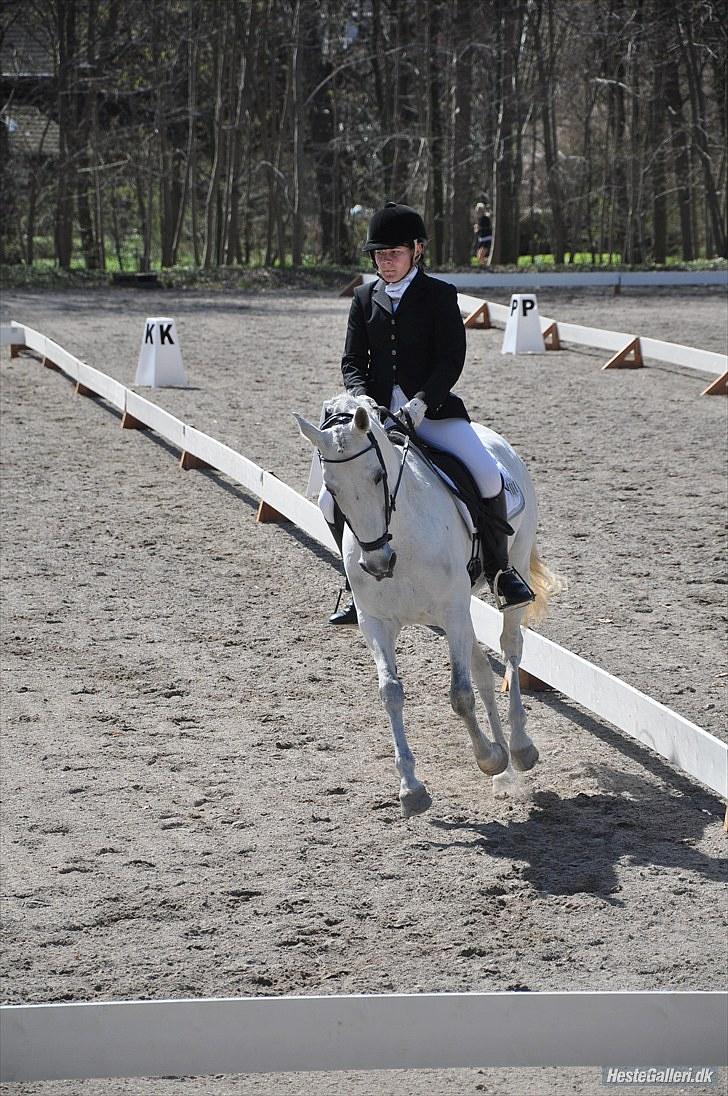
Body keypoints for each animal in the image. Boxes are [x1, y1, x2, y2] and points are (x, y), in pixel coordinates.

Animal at [295, 393, 563, 818]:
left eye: (378, 475)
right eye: (332, 490)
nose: (377, 564)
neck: (400, 539)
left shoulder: (451, 612)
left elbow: (460, 695)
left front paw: (488, 757)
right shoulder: (377, 622)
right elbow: (391, 692)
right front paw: (412, 789)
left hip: (511, 567)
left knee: (510, 649)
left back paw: (519, 749)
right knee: (482, 668)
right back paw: (504, 772)